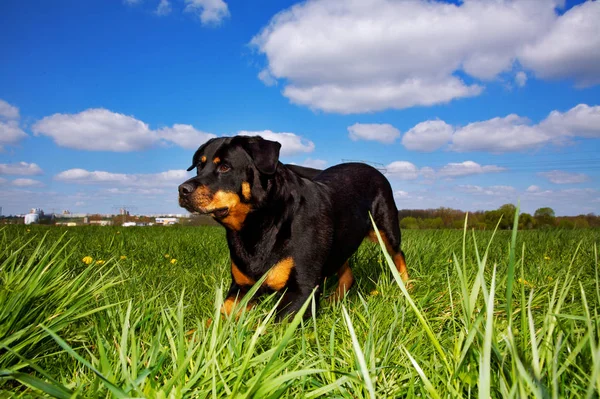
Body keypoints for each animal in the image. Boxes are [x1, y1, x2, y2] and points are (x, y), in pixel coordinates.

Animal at [178, 136, 410, 320]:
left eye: (225, 167)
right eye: (199, 166)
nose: (182, 189)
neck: (257, 226)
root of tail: (370, 168)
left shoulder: (301, 290)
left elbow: (271, 329)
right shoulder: (241, 288)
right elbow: (214, 321)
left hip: (386, 227)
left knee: (398, 254)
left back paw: (407, 288)